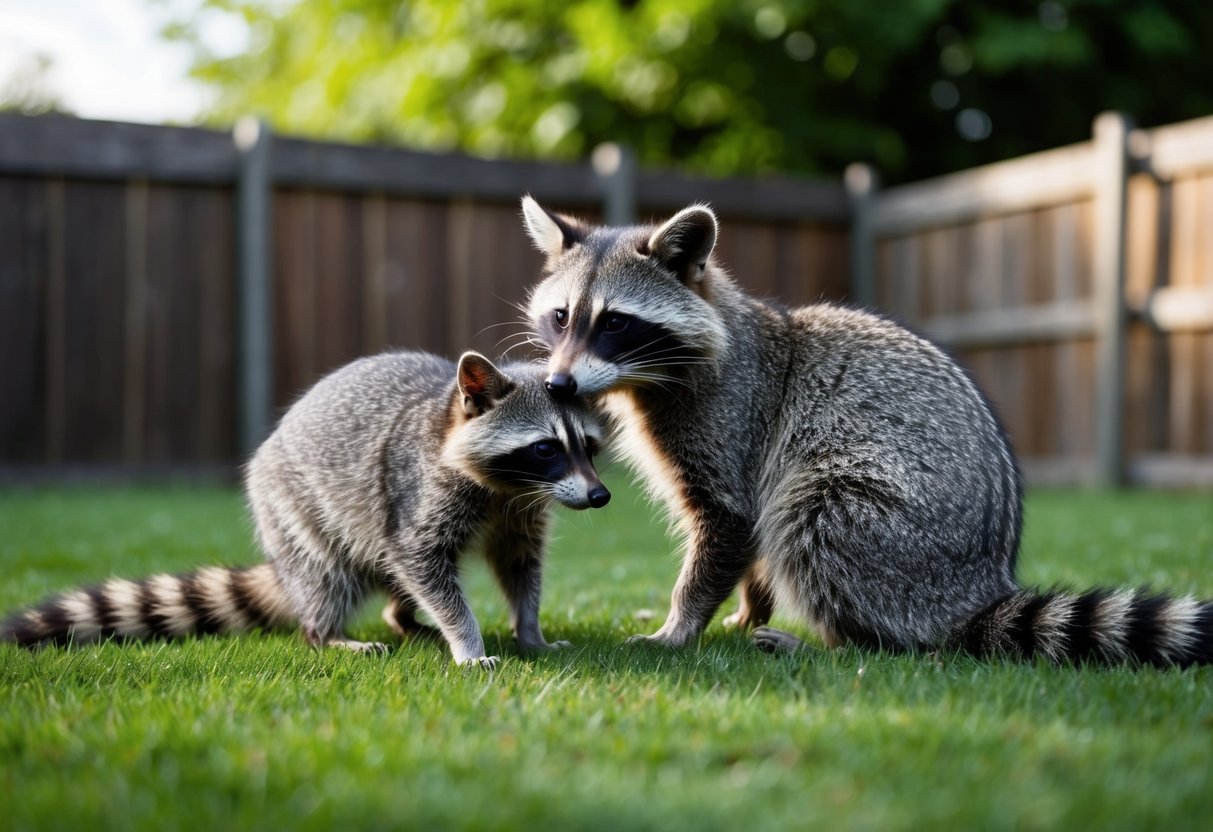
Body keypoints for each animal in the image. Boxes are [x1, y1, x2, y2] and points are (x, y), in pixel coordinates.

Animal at [2, 350, 610, 668]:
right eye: (545, 448)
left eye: (588, 444)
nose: (600, 496)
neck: (505, 486)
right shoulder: (422, 491)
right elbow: (424, 562)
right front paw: (467, 640)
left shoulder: (520, 512)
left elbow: (519, 566)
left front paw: (528, 628)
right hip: (292, 507)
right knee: (331, 575)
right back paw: (328, 632)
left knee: (392, 575)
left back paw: (402, 618)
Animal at [519, 196, 1213, 667]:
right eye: (562, 317)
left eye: (614, 322)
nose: (559, 385)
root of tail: (976, 590)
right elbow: (752, 540)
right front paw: (748, 607)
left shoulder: (728, 420)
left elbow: (733, 522)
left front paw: (680, 624)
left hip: (889, 530)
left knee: (809, 518)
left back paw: (848, 645)